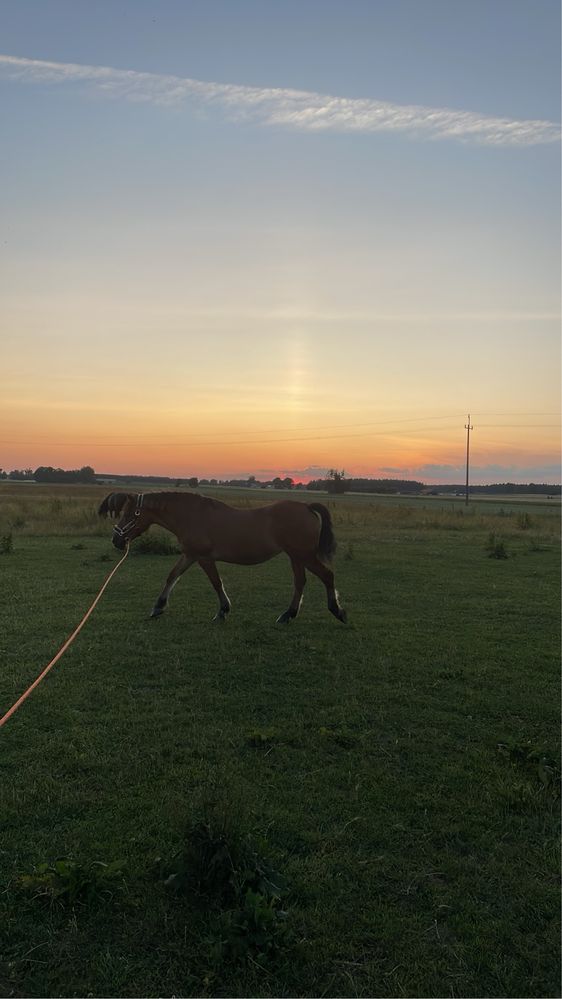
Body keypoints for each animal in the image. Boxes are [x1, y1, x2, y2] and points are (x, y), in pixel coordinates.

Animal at [99, 492, 346, 624]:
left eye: (129, 514)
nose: (116, 540)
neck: (192, 516)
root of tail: (306, 507)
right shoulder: (190, 555)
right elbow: (172, 576)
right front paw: (158, 607)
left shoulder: (203, 558)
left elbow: (216, 583)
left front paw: (223, 611)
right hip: (296, 557)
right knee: (300, 582)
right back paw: (288, 614)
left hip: (303, 556)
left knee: (327, 575)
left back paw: (337, 611)